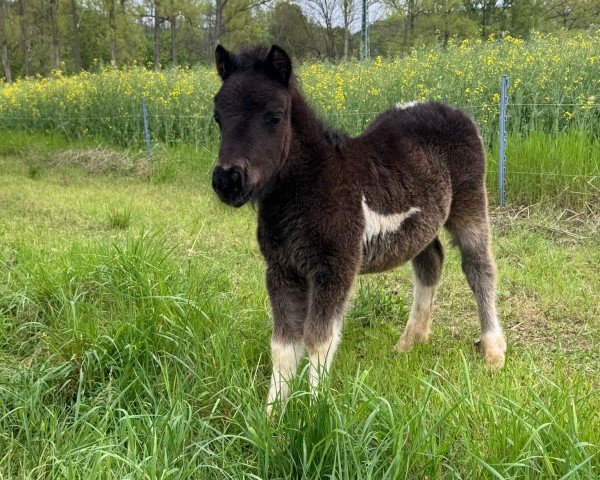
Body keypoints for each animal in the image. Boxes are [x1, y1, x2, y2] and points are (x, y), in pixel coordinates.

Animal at [211, 45, 506, 412]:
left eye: (275, 117)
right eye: (217, 117)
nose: (228, 181)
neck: (313, 182)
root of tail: (449, 109)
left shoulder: (335, 267)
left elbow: (318, 340)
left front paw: (314, 411)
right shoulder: (281, 269)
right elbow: (282, 346)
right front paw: (271, 415)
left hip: (470, 204)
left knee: (479, 267)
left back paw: (493, 351)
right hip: (422, 224)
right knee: (431, 262)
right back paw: (409, 342)